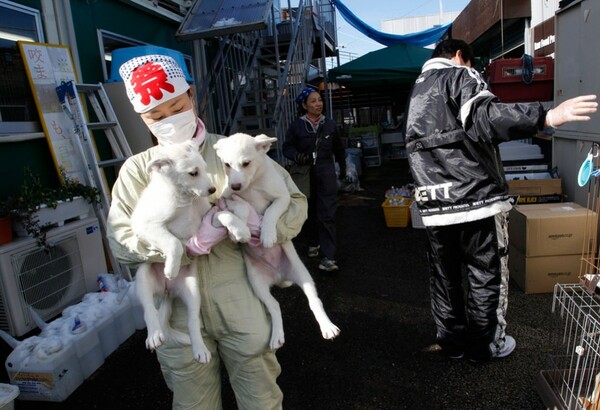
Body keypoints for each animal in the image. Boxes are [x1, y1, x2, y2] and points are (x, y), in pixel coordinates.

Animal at [131, 140, 213, 362]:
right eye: (193, 173)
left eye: (205, 168)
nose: (212, 189)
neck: (185, 199)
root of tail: (167, 291)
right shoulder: (146, 225)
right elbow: (174, 242)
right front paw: (171, 268)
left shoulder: (207, 212)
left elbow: (224, 215)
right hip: (143, 278)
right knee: (149, 310)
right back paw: (154, 335)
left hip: (192, 290)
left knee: (193, 321)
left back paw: (200, 348)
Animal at [213, 132, 340, 350]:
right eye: (227, 164)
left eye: (246, 163)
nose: (235, 185)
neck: (253, 185)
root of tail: (279, 276)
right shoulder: (227, 198)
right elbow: (241, 207)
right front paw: (241, 229)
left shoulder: (283, 198)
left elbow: (271, 212)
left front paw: (267, 234)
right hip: (257, 284)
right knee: (274, 306)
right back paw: (277, 336)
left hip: (303, 275)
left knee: (314, 301)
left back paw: (327, 327)